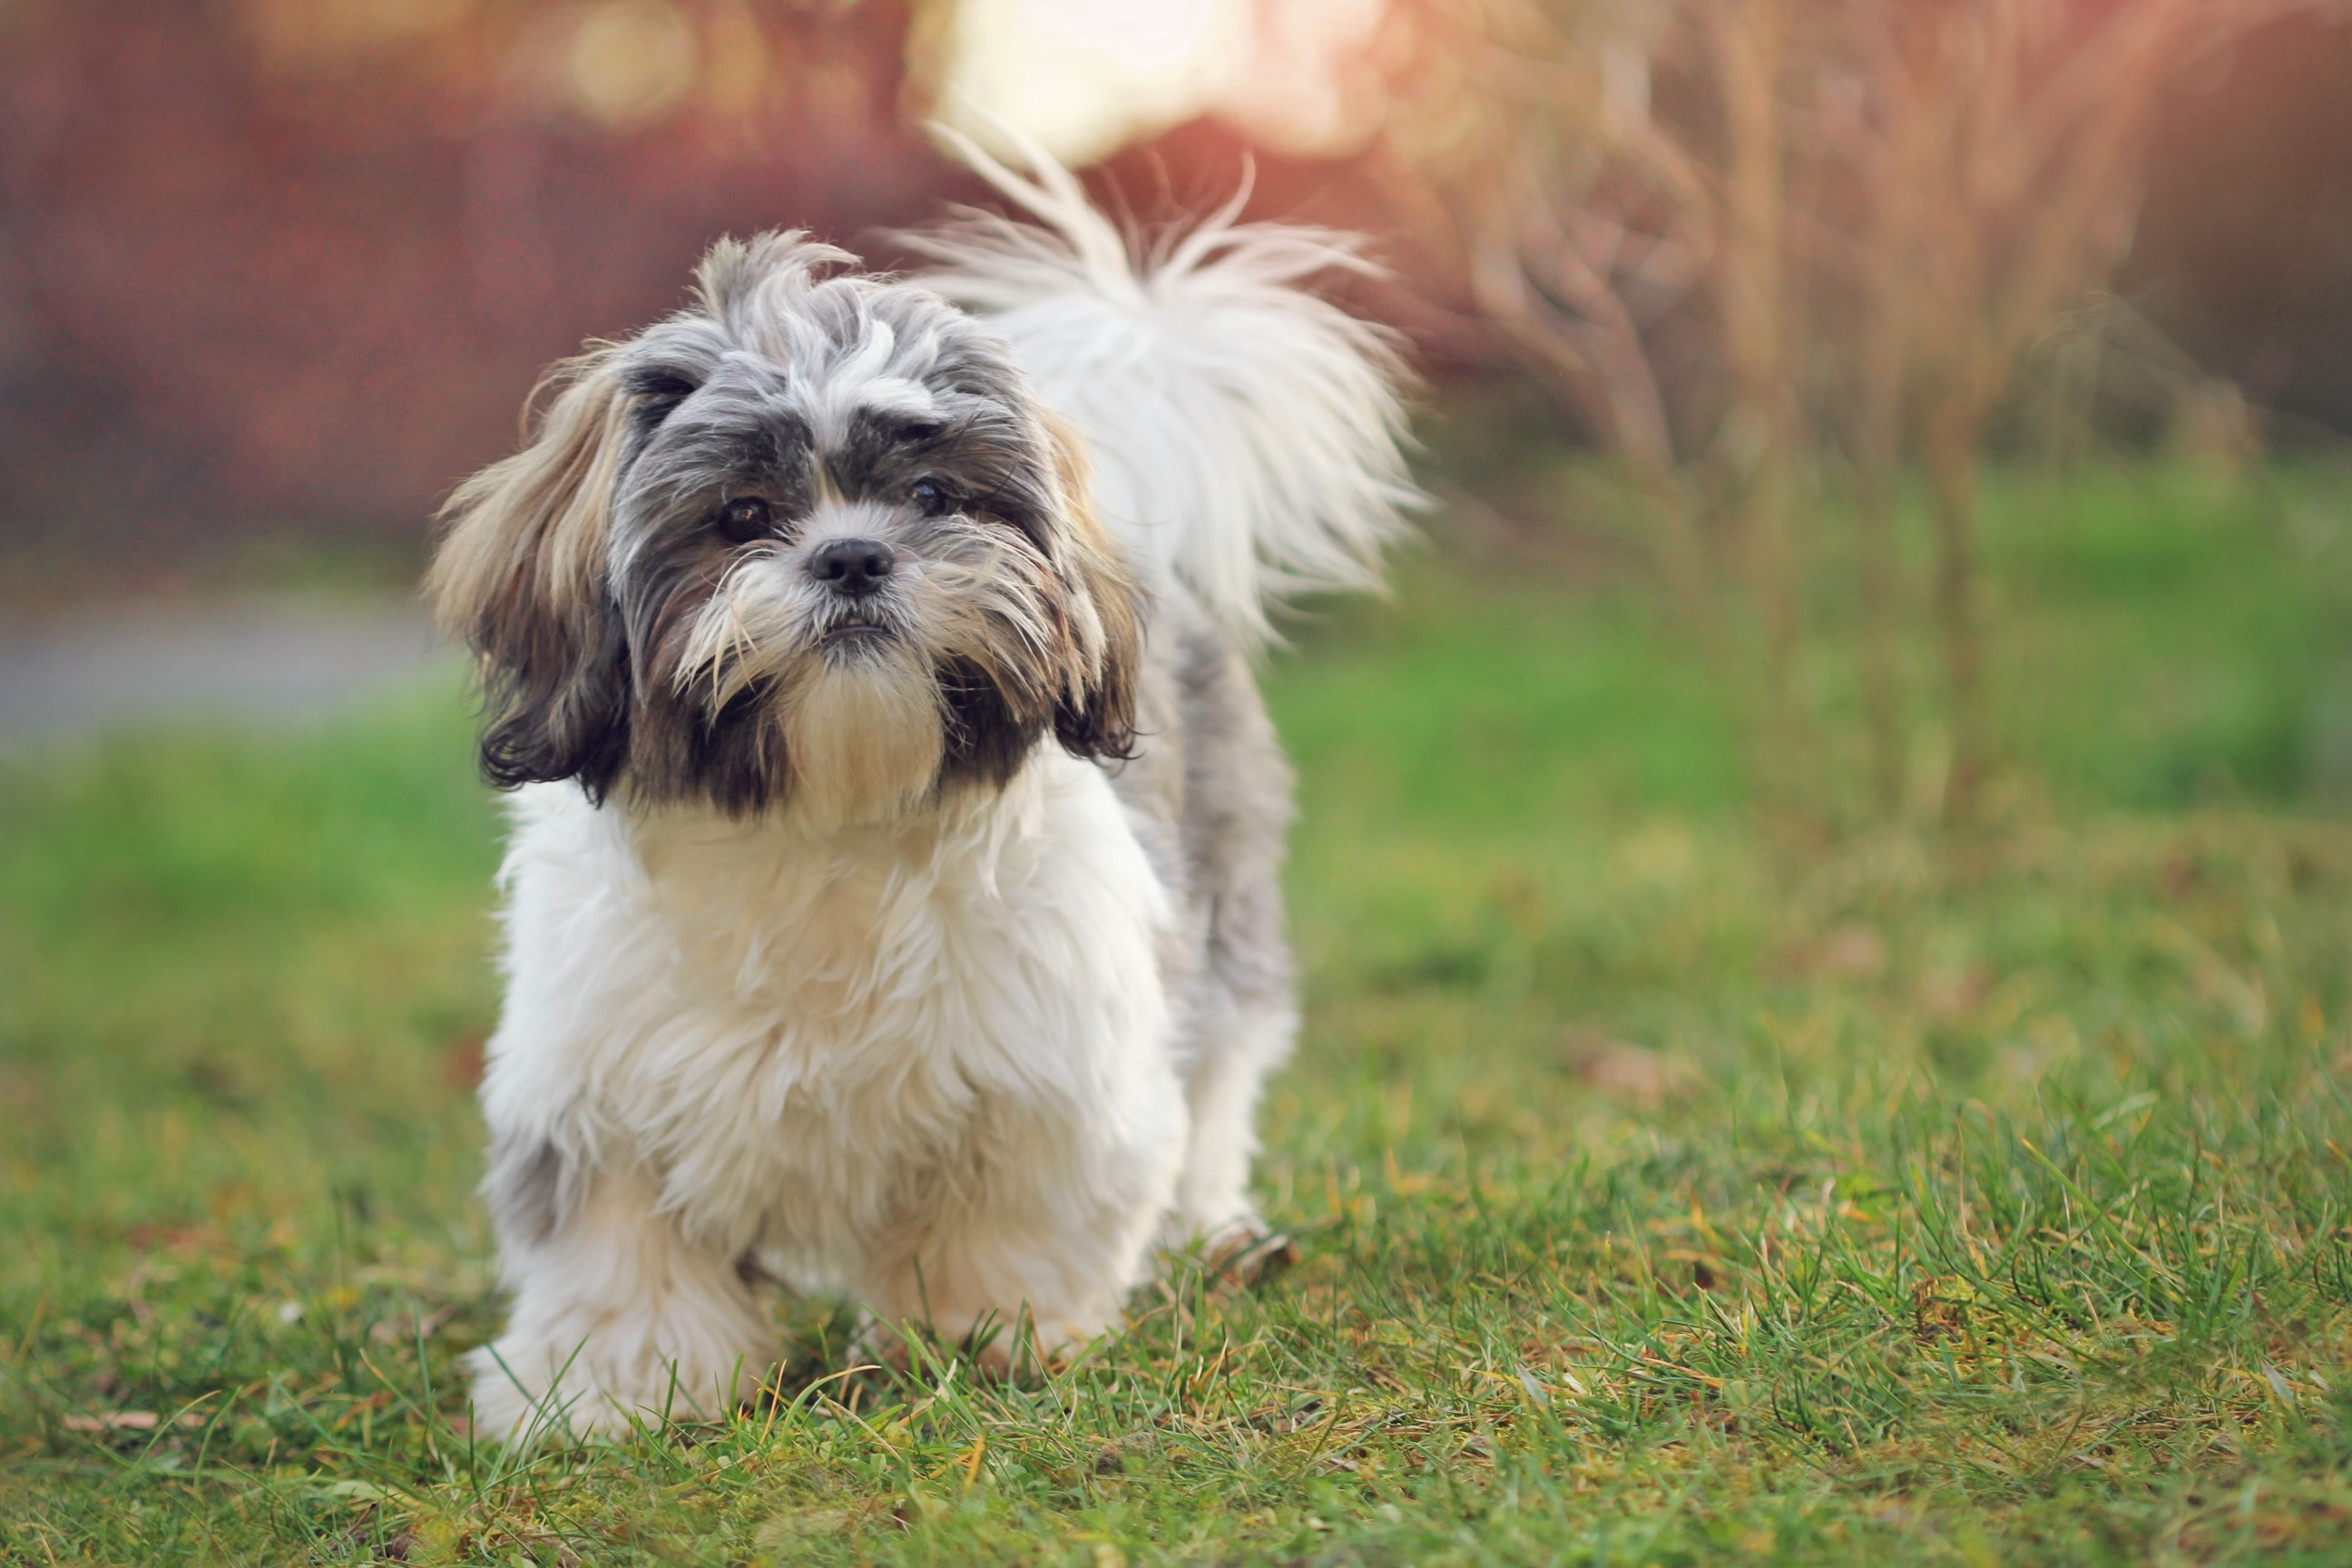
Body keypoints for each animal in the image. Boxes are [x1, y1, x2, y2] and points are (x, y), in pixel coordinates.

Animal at [426, 141, 1411, 1438]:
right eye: (743, 517)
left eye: (936, 499)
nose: (852, 556)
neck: (828, 822)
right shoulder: (594, 1086)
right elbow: (619, 1253)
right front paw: (615, 1389)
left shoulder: (1051, 1070)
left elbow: (1011, 1219)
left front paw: (987, 1338)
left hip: (1223, 913)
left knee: (1218, 1083)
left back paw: (1211, 1232)